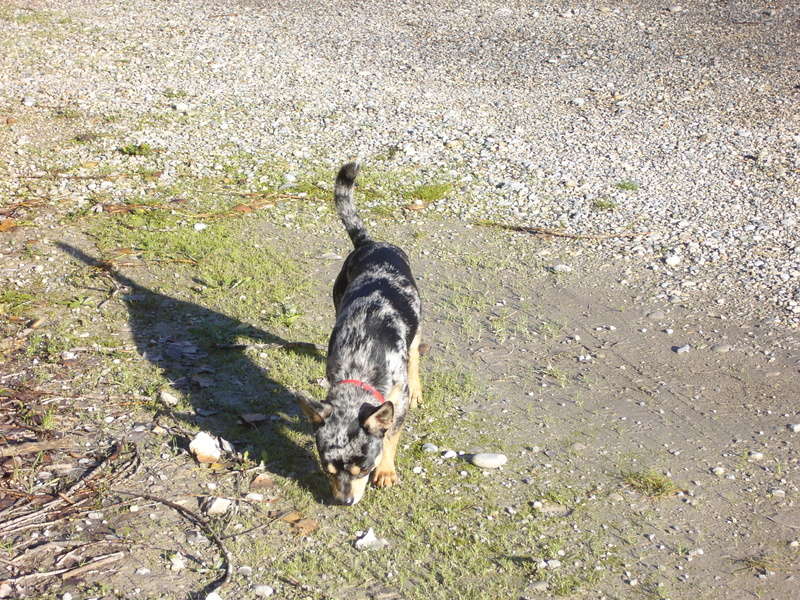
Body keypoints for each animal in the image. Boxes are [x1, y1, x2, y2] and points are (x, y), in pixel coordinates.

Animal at [296, 162, 422, 504]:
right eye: (328, 469)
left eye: (363, 468)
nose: (344, 502)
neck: (361, 362)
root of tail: (370, 243)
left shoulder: (397, 402)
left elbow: (390, 436)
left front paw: (387, 470)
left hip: (418, 319)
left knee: (417, 350)